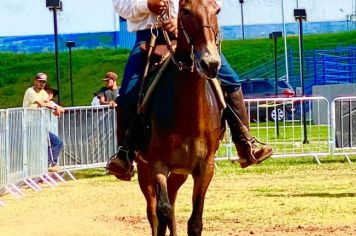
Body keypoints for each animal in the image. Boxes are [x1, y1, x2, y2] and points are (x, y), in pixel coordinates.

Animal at [138, 0, 224, 236]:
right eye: (185, 11)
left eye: (217, 10)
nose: (210, 63)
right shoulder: (157, 164)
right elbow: (162, 211)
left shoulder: (205, 166)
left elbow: (195, 221)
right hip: (143, 168)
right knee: (153, 210)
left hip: (180, 173)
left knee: (173, 199)